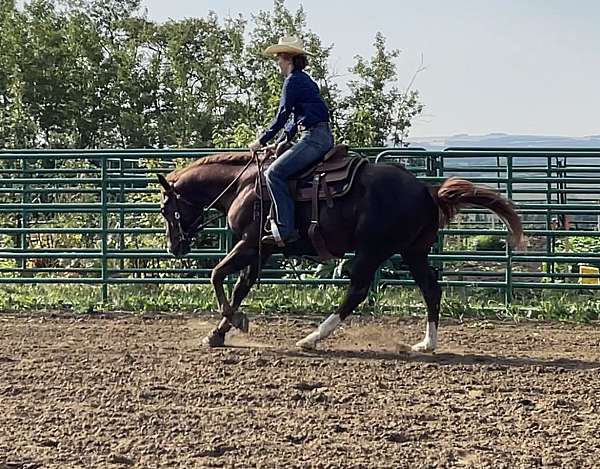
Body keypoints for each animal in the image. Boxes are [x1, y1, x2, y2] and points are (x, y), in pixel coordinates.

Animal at [157, 150, 524, 352]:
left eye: (165, 209)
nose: (175, 247)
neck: (245, 185)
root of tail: (426, 190)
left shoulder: (248, 243)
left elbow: (217, 275)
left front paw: (234, 322)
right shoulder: (261, 250)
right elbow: (239, 288)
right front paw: (218, 333)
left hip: (373, 250)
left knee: (358, 290)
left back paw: (312, 338)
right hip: (412, 251)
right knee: (430, 289)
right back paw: (426, 343)